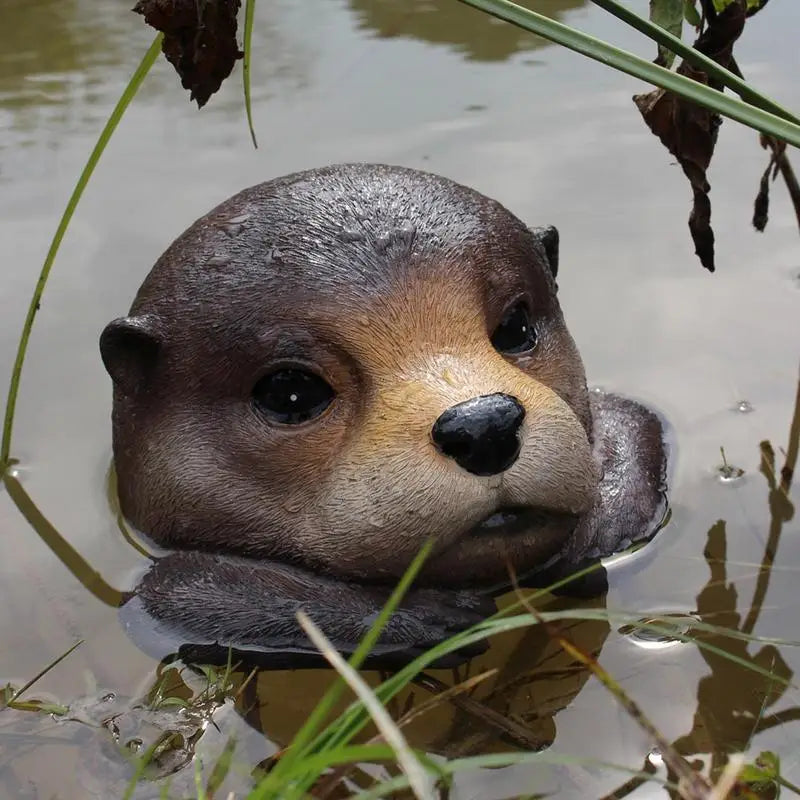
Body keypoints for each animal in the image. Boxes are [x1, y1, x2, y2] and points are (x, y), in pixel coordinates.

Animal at [102, 164, 668, 666]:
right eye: (290, 392)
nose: (483, 425)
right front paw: (420, 616)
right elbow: (179, 590)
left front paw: (594, 530)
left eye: (514, 326)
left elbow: (637, 423)